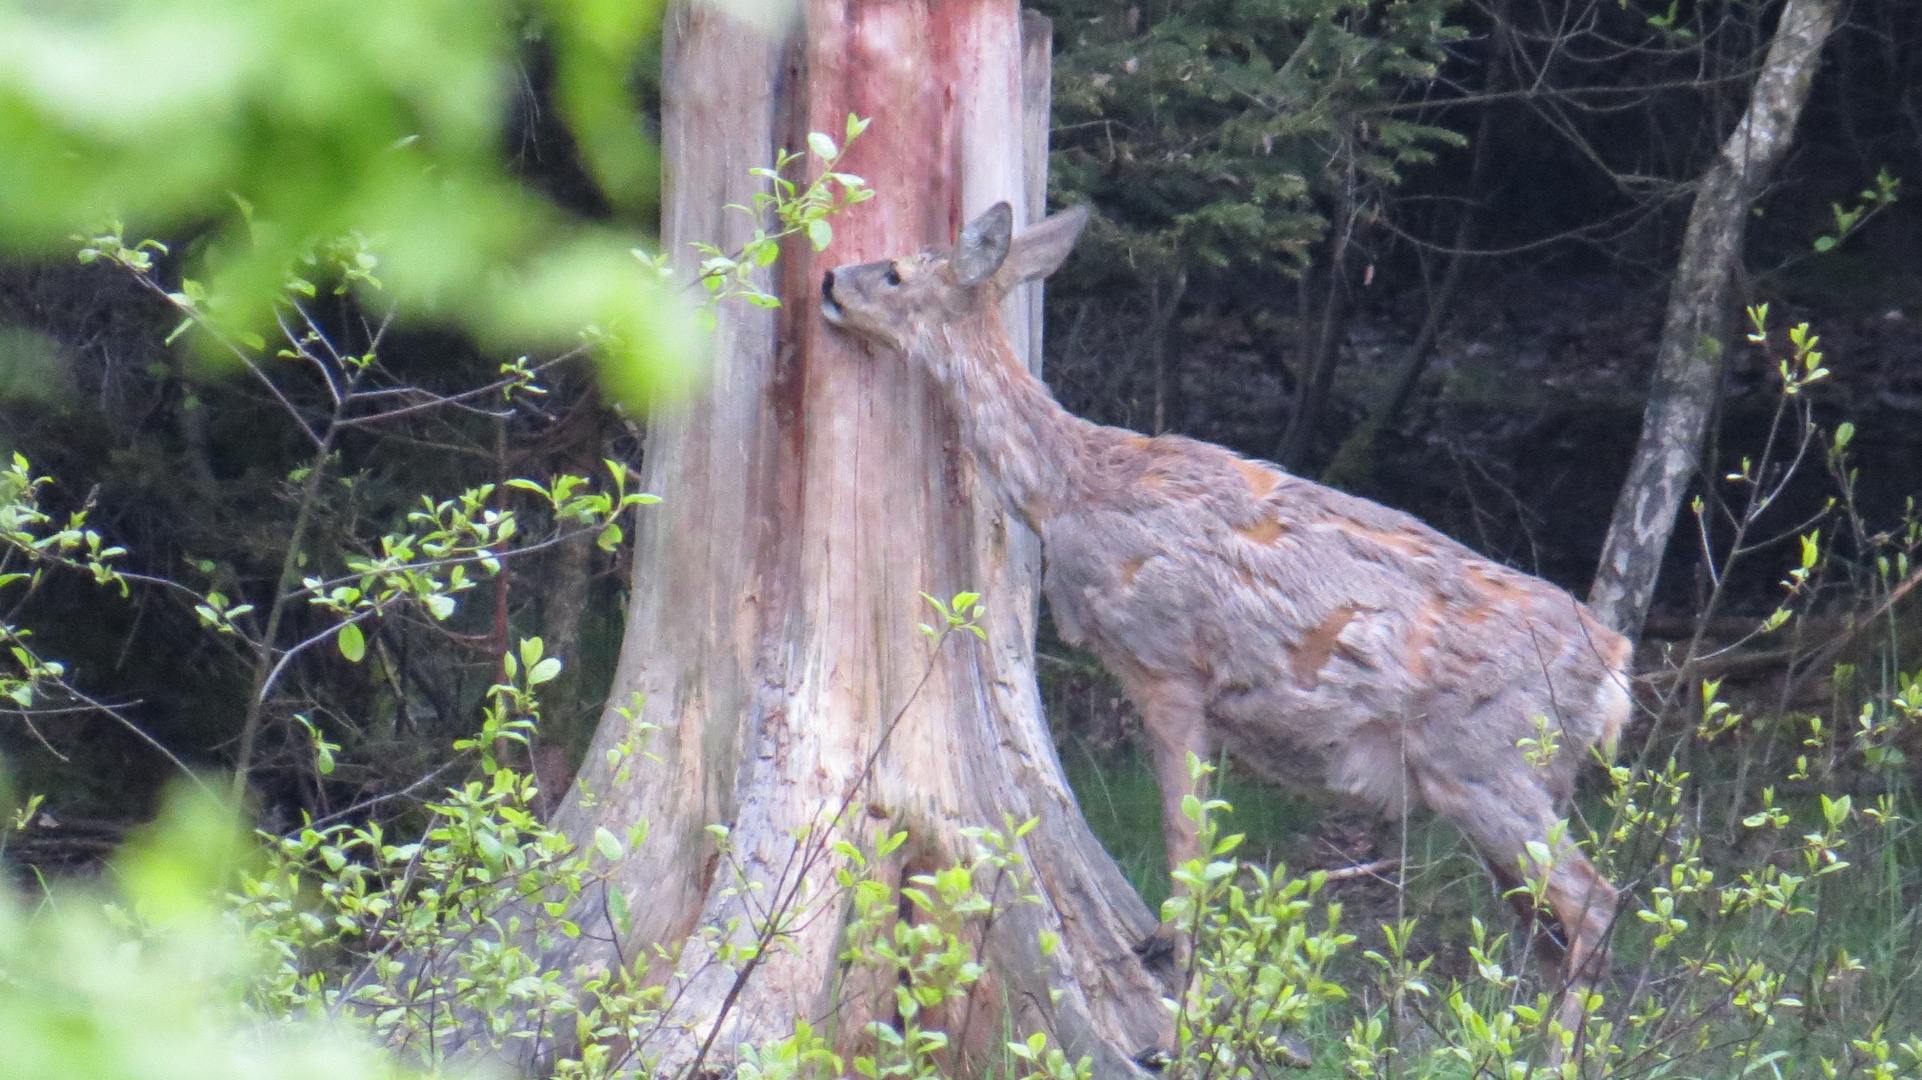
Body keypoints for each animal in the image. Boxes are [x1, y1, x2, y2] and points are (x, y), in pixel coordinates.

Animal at [818, 201, 1629, 1037]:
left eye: (894, 272)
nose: (828, 280)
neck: (1072, 490)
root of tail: (1616, 663)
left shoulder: (1167, 666)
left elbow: (1187, 840)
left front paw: (1185, 986)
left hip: (1485, 760)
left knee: (1594, 902)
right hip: (1513, 778)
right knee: (1547, 927)